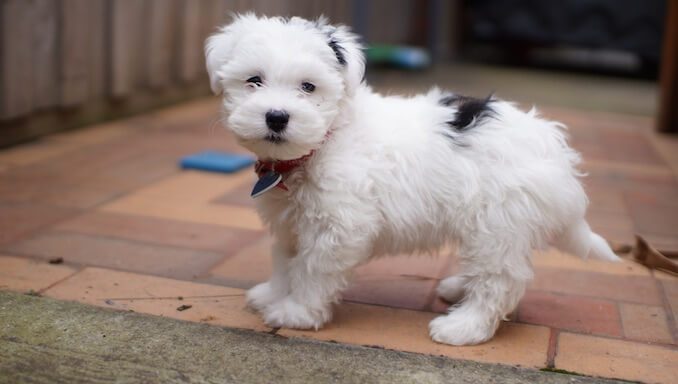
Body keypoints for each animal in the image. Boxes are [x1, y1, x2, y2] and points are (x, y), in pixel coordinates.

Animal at [203, 14, 620, 344]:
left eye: (308, 87)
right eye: (253, 80)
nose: (277, 117)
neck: (325, 140)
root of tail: (554, 149)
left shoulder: (338, 227)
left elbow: (312, 269)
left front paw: (297, 312)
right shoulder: (291, 224)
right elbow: (284, 260)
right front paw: (273, 294)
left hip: (499, 222)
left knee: (501, 279)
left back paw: (464, 327)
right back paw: (459, 289)